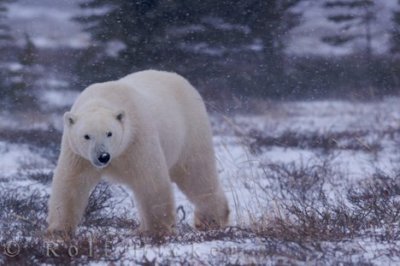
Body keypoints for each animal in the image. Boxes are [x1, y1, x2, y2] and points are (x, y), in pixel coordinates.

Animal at [46, 69, 230, 236]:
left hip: (190, 131)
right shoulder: (77, 153)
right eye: (86, 136)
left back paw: (211, 221)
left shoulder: (137, 138)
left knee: (197, 175)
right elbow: (71, 184)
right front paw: (58, 232)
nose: (103, 156)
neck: (102, 99)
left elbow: (150, 180)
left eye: (109, 133)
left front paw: (159, 230)